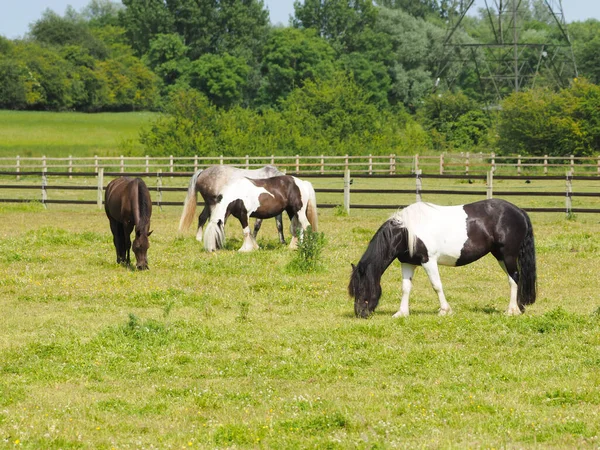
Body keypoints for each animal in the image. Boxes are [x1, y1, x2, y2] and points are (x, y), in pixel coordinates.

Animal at [350, 199, 536, 318]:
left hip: (508, 255)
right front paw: (401, 313)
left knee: (514, 279)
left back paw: (511, 310)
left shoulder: (428, 261)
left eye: (362, 287)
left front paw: (444, 310)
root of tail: (519, 211)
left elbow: (436, 286)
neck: (407, 231)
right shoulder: (407, 263)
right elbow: (405, 288)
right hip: (500, 256)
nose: (360, 313)